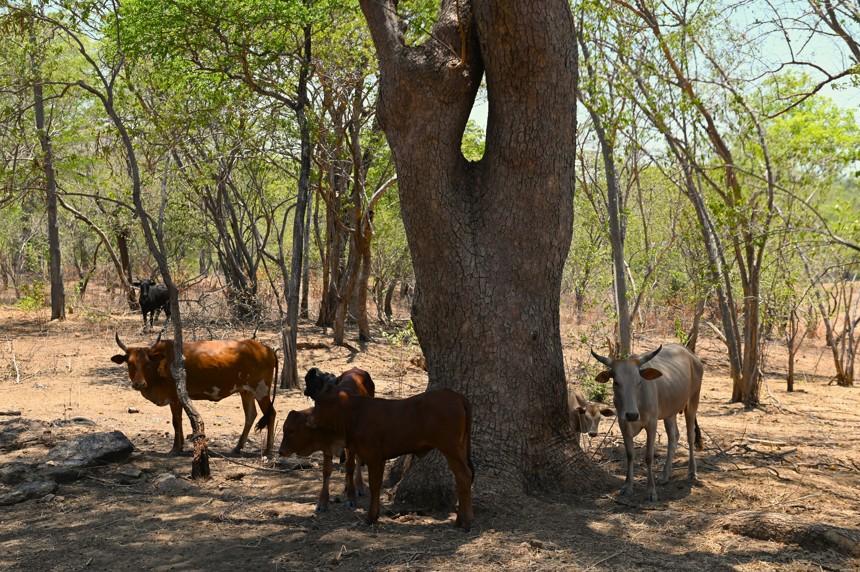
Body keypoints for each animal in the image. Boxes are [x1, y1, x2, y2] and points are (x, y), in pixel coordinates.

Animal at [111, 333, 278, 457]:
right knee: (250, 414)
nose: (138, 384)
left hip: (261, 390)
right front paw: (179, 447)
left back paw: (268, 451)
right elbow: (178, 421)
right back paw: (237, 447)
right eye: (130, 363)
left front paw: (175, 449)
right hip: (246, 391)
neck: (161, 364)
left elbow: (176, 421)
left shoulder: (175, 398)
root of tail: (267, 349)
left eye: (147, 363)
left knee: (270, 414)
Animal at [278, 367, 375, 512]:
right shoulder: (327, 446)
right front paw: (322, 502)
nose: (281, 451)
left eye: (292, 430)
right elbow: (326, 471)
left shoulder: (351, 443)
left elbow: (350, 467)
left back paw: (358, 486)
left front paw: (351, 497)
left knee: (357, 461)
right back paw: (346, 484)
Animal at [307, 385, 474, 531]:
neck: (357, 415)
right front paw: (375, 515)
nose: (309, 420)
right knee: (462, 479)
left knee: (464, 476)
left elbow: (374, 486)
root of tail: (456, 395)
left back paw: (466, 523)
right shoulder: (381, 459)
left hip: (450, 448)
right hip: (460, 447)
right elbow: (378, 485)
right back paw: (459, 521)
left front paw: (370, 517)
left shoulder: (373, 456)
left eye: (320, 402)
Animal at [591, 343, 703, 502]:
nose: (632, 414)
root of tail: (692, 355)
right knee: (674, 437)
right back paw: (664, 475)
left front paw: (651, 491)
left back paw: (692, 472)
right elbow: (630, 454)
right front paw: (627, 486)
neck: (637, 401)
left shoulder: (651, 423)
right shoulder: (623, 423)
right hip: (670, 412)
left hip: (693, 402)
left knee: (690, 435)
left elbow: (649, 457)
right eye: (616, 382)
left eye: (639, 382)